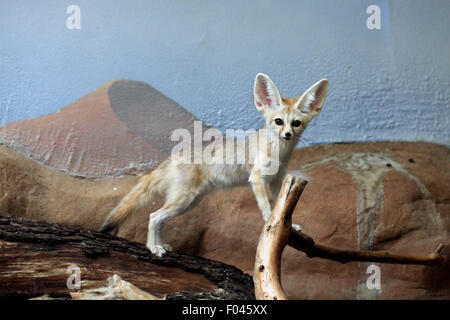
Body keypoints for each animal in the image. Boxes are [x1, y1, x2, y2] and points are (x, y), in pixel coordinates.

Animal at [101, 74, 326, 256]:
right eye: (278, 121)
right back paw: (153, 247)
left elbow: (283, 208)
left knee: (158, 218)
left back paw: (160, 244)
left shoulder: (279, 180)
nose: (287, 134)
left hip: (190, 202)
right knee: (153, 216)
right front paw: (270, 222)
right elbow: (267, 208)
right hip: (183, 201)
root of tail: (174, 157)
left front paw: (290, 225)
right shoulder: (257, 179)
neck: (280, 153)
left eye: (296, 123)